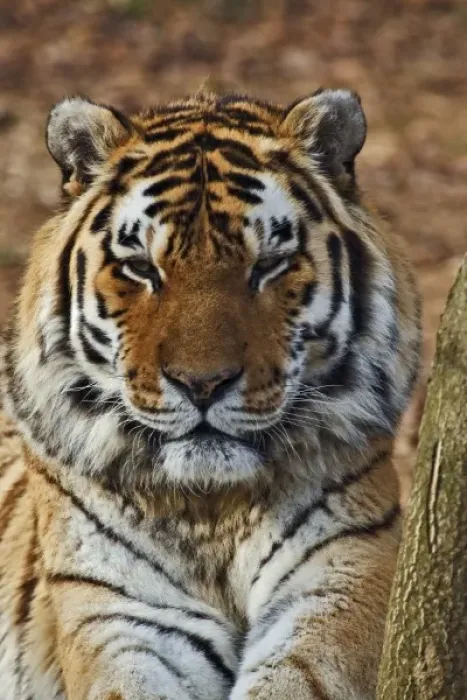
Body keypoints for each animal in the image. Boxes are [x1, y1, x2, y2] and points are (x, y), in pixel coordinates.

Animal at [0, 87, 420, 700]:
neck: (212, 510)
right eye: (140, 268)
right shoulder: (124, 613)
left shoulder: (340, 579)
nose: (202, 384)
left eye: (268, 265)